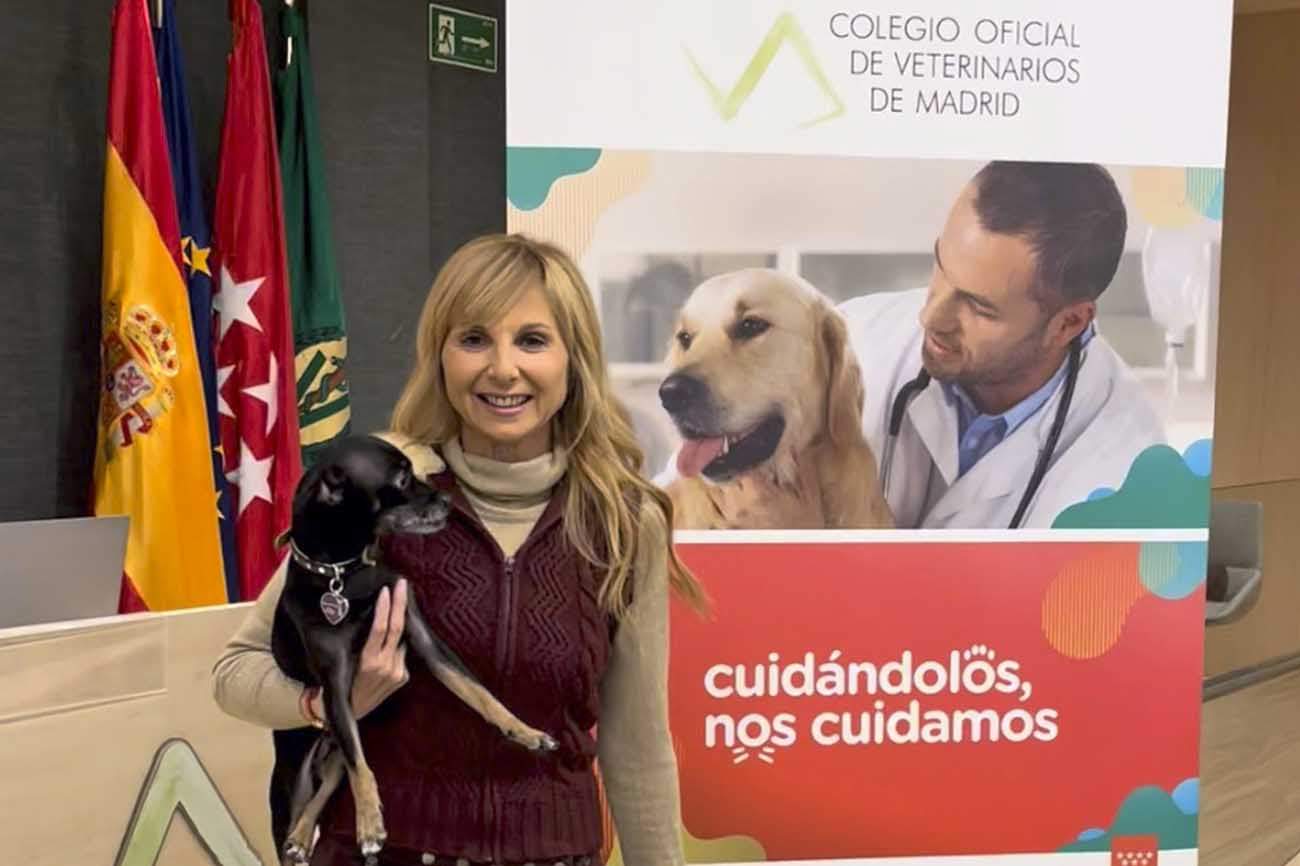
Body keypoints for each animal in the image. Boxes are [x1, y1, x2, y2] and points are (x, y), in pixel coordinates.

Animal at [269, 434, 559, 858]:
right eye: (402, 480)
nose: (448, 501)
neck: (345, 573)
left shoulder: (426, 642)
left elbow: (480, 693)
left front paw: (524, 730)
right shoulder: (336, 686)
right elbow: (362, 768)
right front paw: (370, 825)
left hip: (334, 753)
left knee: (325, 791)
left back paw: (302, 836)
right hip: (298, 773)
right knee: (309, 799)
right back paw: (300, 837)